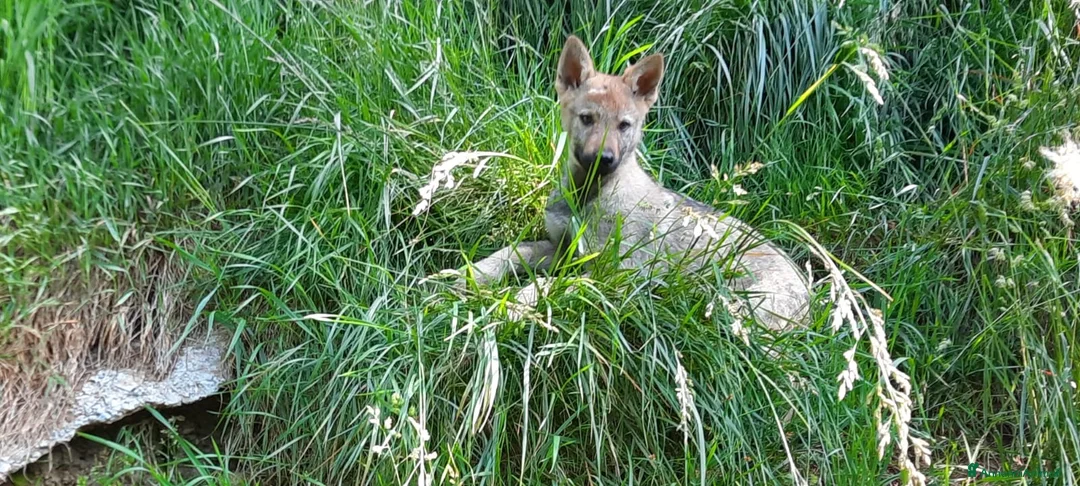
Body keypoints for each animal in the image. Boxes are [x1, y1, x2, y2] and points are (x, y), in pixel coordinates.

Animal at [447, 35, 810, 331]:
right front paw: (465, 276)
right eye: (587, 118)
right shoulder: (564, 249)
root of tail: (812, 296)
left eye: (624, 125)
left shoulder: (612, 274)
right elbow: (513, 250)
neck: (588, 195)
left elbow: (547, 286)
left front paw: (509, 307)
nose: (604, 159)